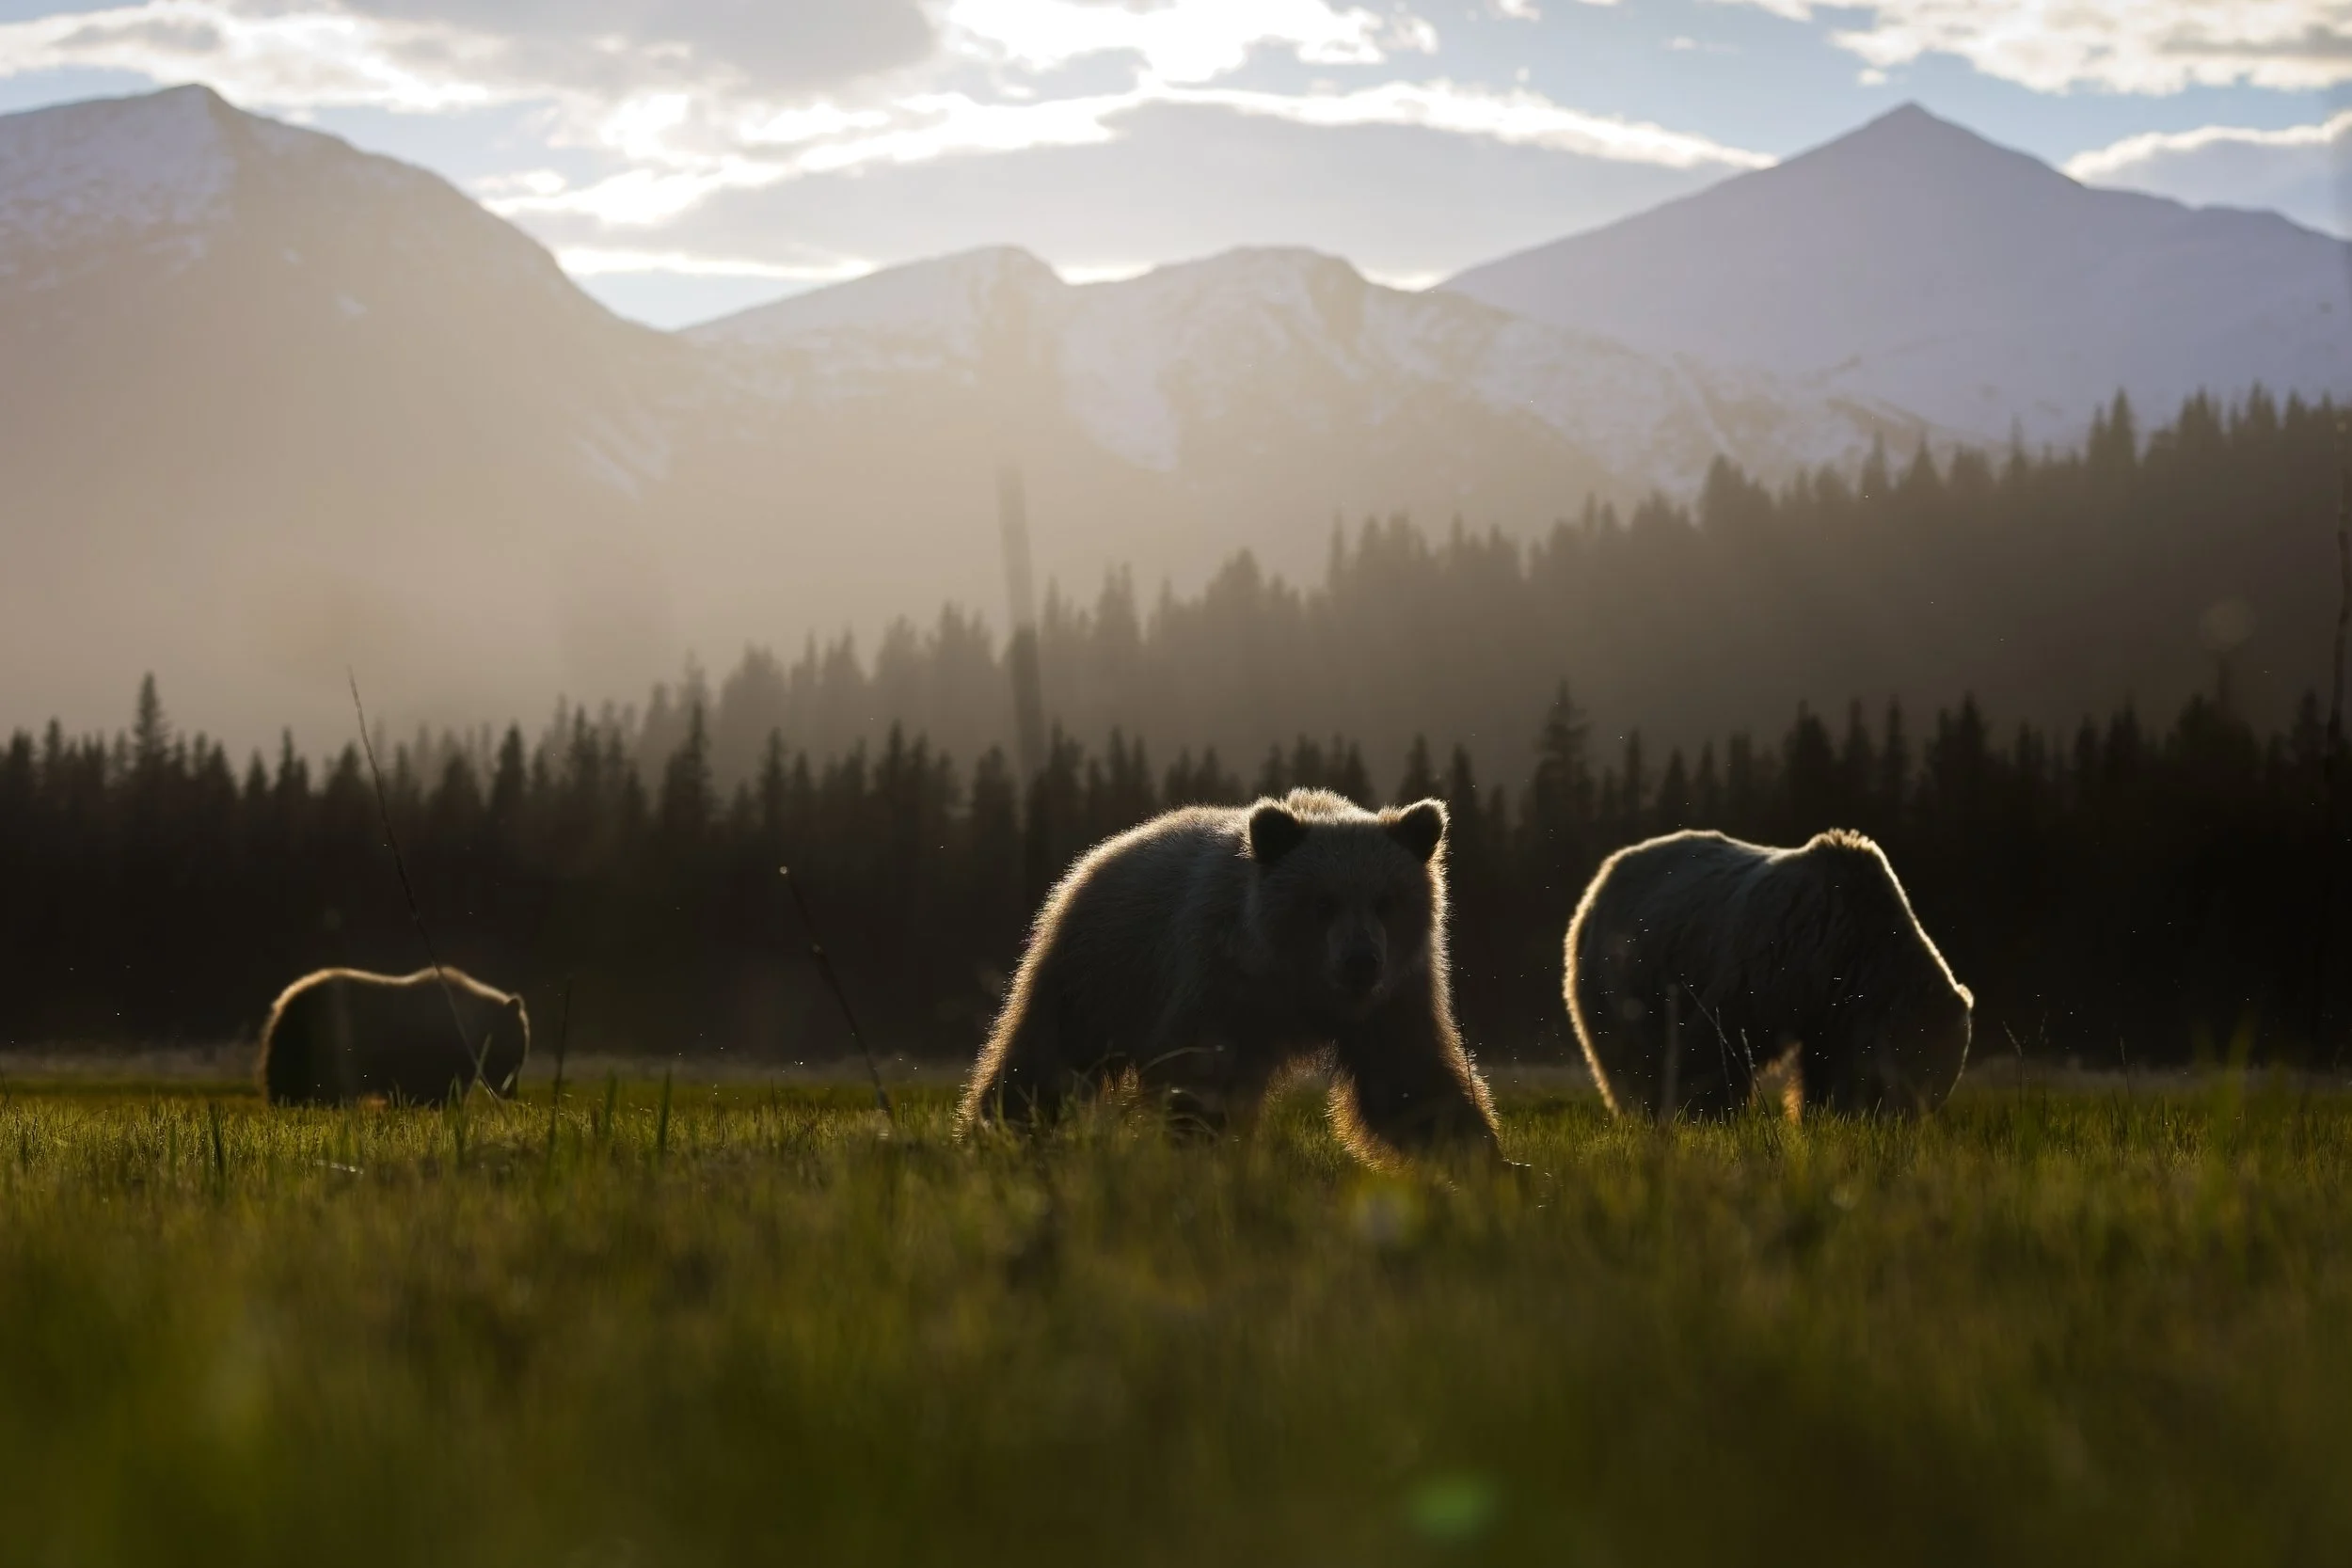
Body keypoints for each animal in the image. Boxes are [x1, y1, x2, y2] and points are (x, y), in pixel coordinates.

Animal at [959, 788, 1501, 1165]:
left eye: (1386, 901)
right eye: (1322, 903)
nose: (1360, 961)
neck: (1299, 984)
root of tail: (1096, 857)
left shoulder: (1394, 996)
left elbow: (1412, 1081)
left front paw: (1490, 1160)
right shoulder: (1221, 980)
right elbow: (1201, 1076)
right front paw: (1196, 1151)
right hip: (1099, 972)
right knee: (1045, 1057)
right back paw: (993, 1131)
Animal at [1564, 828, 1972, 1120]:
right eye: (1927, 1070)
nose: (1905, 1118)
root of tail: (1602, 877)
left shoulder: (1832, 1010)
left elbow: (1826, 1070)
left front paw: (1824, 1116)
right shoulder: (1773, 963)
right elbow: (1717, 1044)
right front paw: (1709, 1113)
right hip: (1626, 968)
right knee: (1626, 1053)